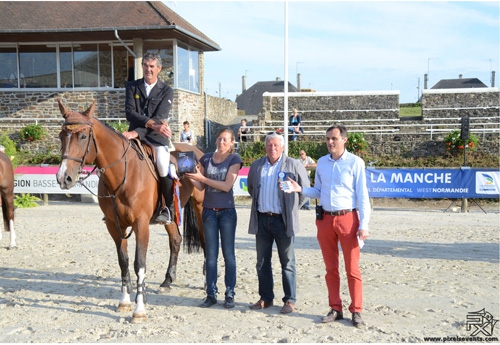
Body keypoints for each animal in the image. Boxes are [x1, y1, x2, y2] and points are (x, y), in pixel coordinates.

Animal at [57, 99, 206, 322]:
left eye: (83, 136)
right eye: (61, 136)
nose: (62, 177)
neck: (122, 174)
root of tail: (197, 152)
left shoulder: (141, 224)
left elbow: (139, 264)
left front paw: (139, 310)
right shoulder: (114, 225)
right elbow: (124, 261)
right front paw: (125, 302)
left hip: (201, 207)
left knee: (207, 241)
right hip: (170, 217)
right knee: (176, 240)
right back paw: (167, 281)